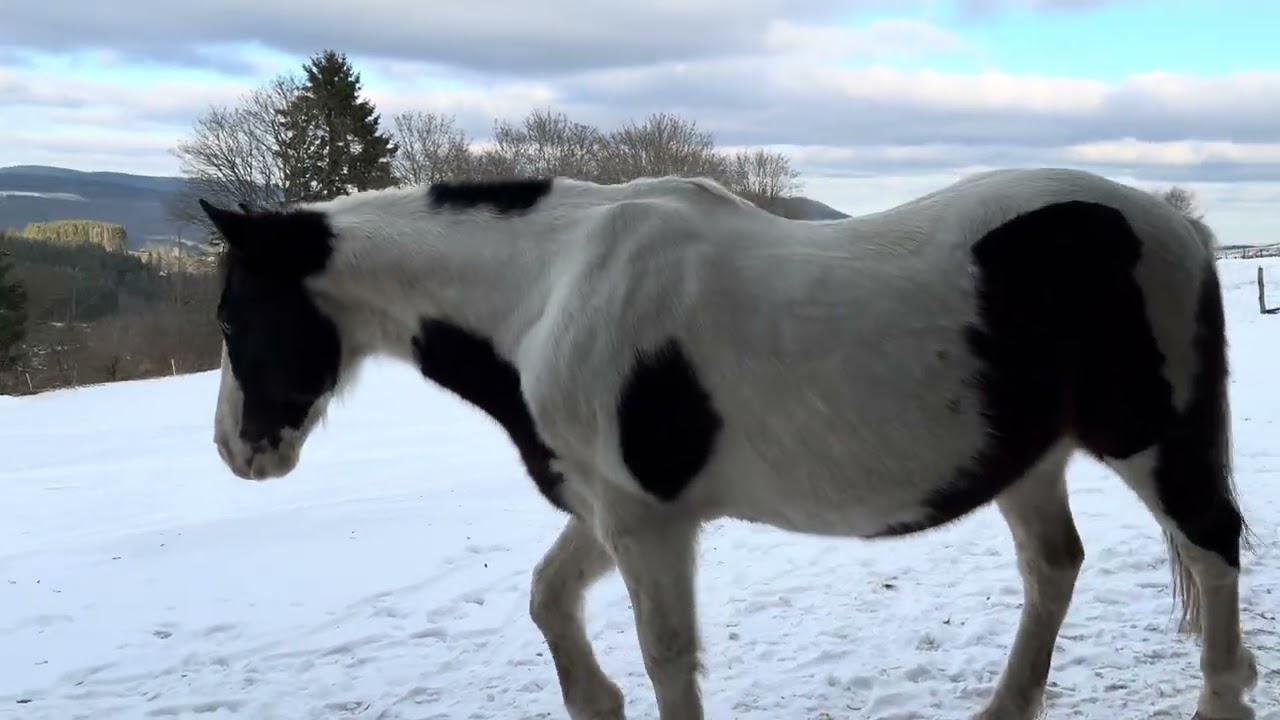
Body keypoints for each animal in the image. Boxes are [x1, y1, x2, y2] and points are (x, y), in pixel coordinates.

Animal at [198, 166, 1257, 720]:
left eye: (230, 313)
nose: (240, 455)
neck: (550, 291)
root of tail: (1176, 226)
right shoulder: (611, 508)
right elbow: (547, 600)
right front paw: (595, 702)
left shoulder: (646, 526)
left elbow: (668, 654)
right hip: (1028, 459)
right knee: (1054, 567)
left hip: (1151, 440)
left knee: (1211, 546)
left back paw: (1222, 698)